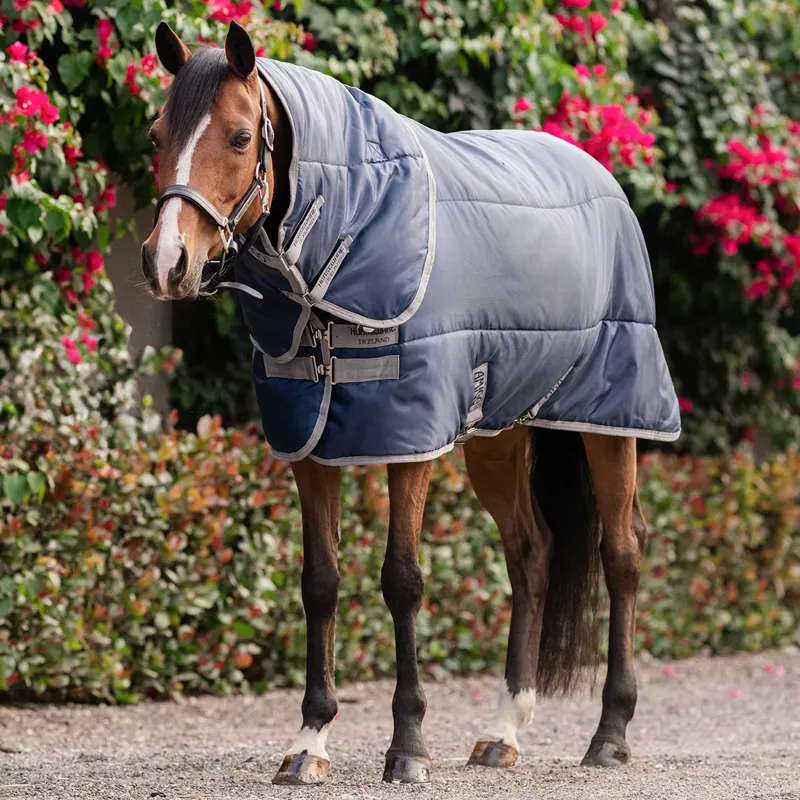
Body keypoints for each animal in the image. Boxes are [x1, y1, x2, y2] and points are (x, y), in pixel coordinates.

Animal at [141, 20, 679, 786]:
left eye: (242, 137)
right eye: (158, 134)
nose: (167, 264)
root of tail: (600, 177)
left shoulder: (411, 443)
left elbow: (402, 581)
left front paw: (407, 747)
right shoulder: (310, 447)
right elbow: (320, 583)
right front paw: (309, 741)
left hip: (612, 418)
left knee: (623, 551)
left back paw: (610, 734)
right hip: (499, 435)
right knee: (531, 550)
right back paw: (503, 730)